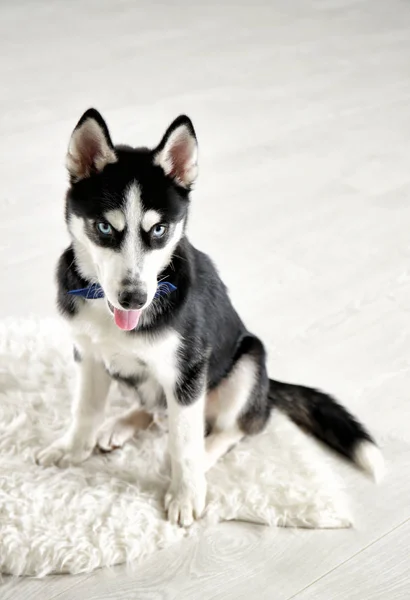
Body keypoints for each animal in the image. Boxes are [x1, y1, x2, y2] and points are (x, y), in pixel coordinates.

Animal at [36, 108, 384, 524]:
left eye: (159, 229)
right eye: (104, 227)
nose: (134, 299)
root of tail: (266, 389)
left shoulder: (187, 370)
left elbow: (185, 444)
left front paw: (186, 493)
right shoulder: (89, 355)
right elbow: (85, 410)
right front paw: (71, 449)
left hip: (247, 362)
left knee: (236, 427)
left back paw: (202, 455)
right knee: (154, 409)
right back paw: (121, 425)